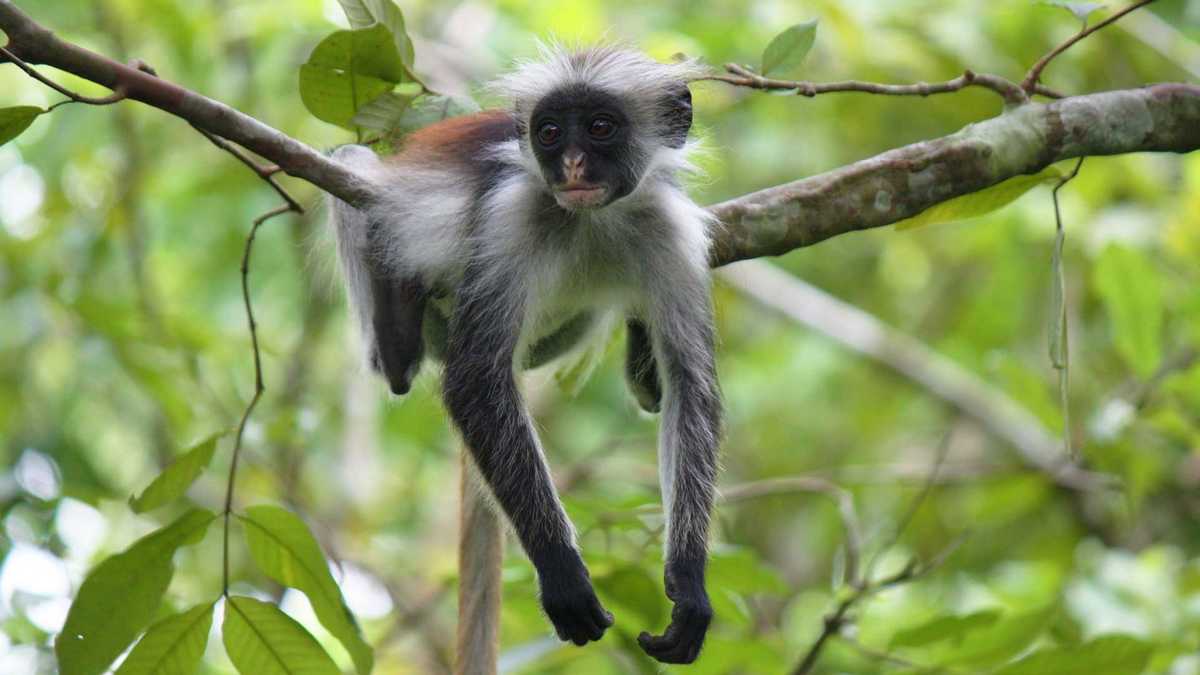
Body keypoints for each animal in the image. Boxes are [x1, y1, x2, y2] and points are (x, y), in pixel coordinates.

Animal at [328, 47, 720, 662]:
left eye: (601, 128)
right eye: (550, 133)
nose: (573, 166)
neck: (593, 217)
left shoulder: (671, 230)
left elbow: (691, 386)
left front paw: (690, 583)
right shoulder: (510, 216)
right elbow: (473, 379)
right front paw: (563, 574)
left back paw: (642, 362)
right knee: (352, 158)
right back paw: (395, 333)